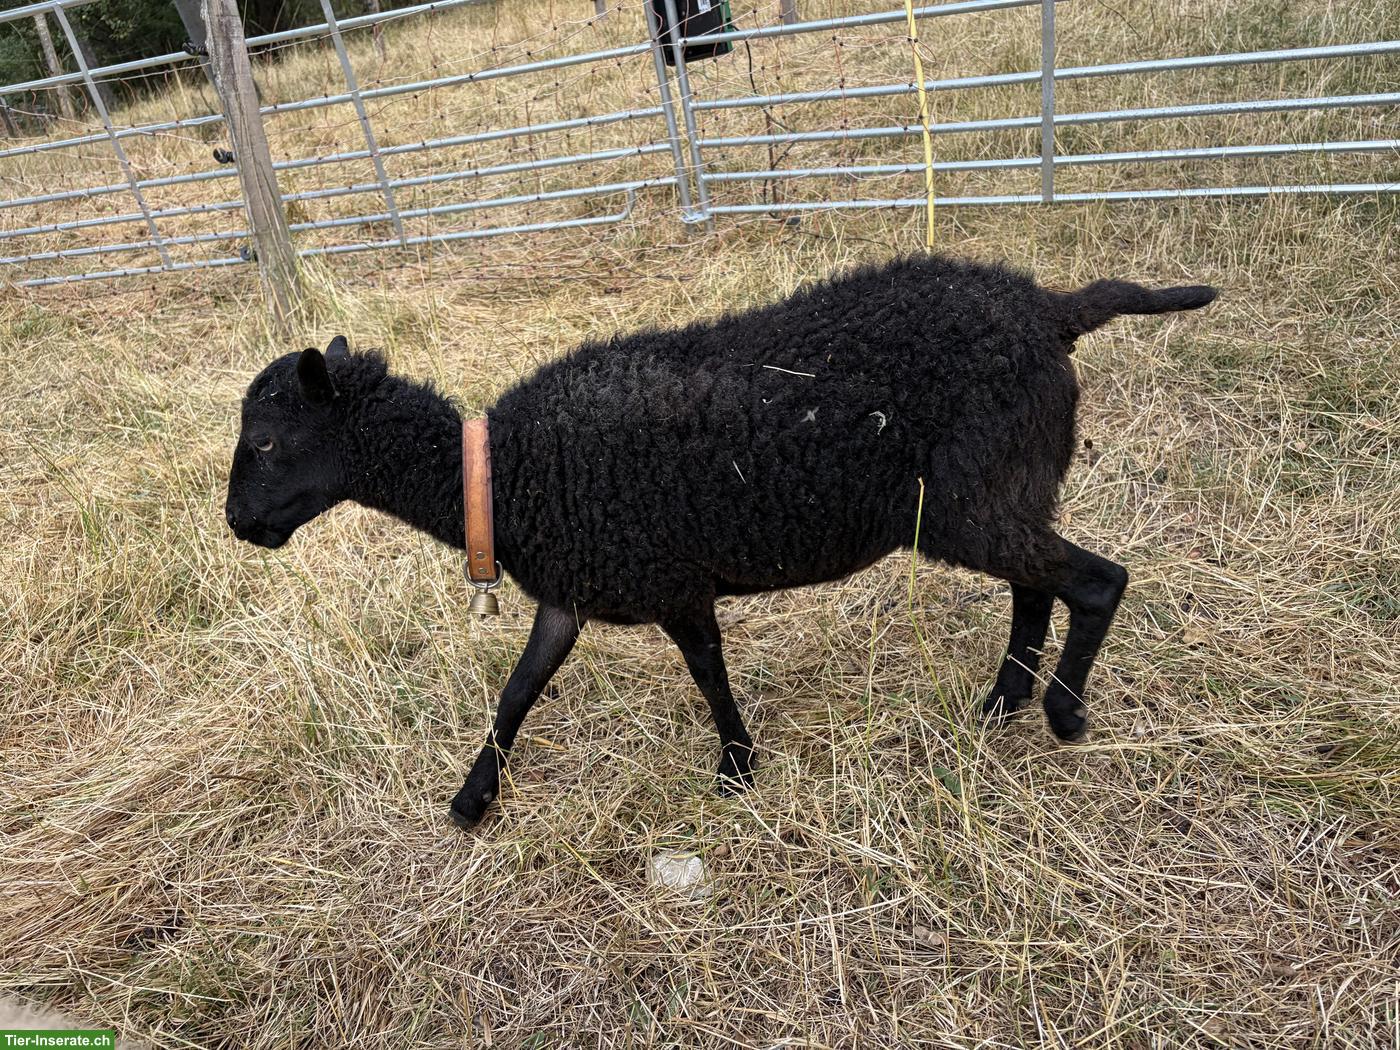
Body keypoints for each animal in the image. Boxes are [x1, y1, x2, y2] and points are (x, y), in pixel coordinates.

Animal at [225, 253, 1216, 828]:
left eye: (266, 442)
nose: (240, 526)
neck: (501, 478)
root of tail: (1052, 310)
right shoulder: (575, 591)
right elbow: (518, 692)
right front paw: (472, 800)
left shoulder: (672, 580)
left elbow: (707, 672)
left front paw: (737, 768)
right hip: (1000, 488)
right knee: (1037, 582)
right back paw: (1003, 702)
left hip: (970, 500)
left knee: (1096, 580)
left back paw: (1062, 714)